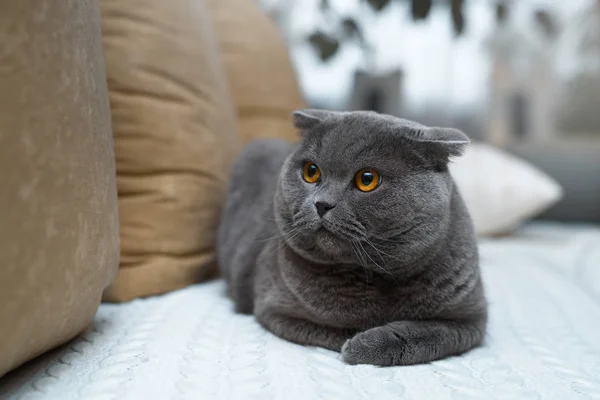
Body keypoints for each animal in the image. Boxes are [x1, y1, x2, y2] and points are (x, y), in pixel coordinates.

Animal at [217, 109, 488, 366]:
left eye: (367, 179)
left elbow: (433, 333)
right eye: (311, 171)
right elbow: (342, 326)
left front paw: (372, 343)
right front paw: (362, 341)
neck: (376, 276)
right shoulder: (275, 309)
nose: (322, 204)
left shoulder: (472, 320)